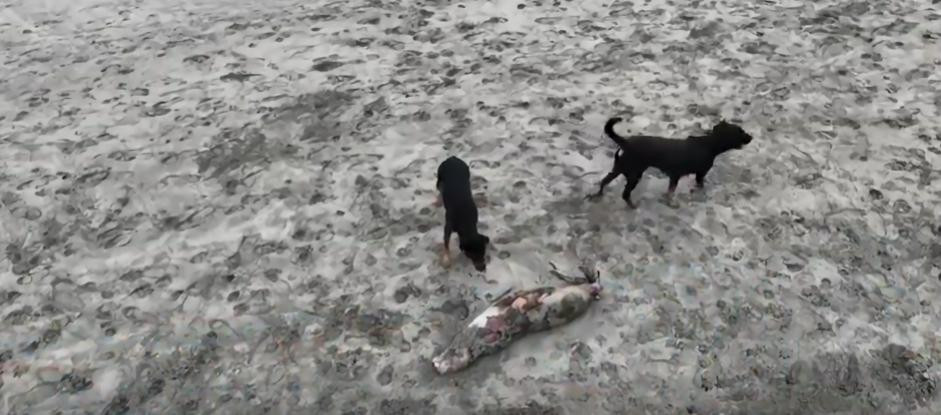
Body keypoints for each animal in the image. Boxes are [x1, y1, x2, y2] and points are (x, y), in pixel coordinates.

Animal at [584, 116, 752, 208]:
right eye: (741, 131)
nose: (751, 137)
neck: (710, 144)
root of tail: (626, 142)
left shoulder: (674, 177)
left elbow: (670, 191)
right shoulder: (699, 174)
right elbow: (694, 186)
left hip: (619, 168)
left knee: (604, 181)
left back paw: (597, 195)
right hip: (634, 174)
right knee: (625, 194)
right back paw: (632, 206)